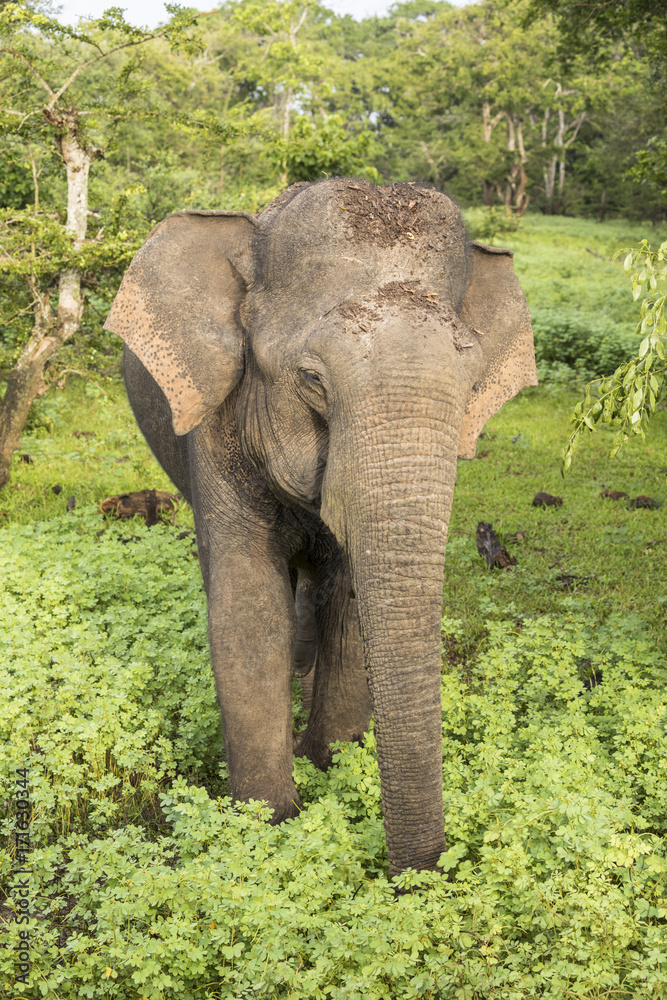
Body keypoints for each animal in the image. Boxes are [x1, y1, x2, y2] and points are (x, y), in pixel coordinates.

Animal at [105, 179, 536, 878]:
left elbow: (351, 599)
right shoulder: (215, 428)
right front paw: (268, 824)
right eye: (311, 380)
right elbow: (248, 612)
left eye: (474, 386)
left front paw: (330, 762)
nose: (415, 878)